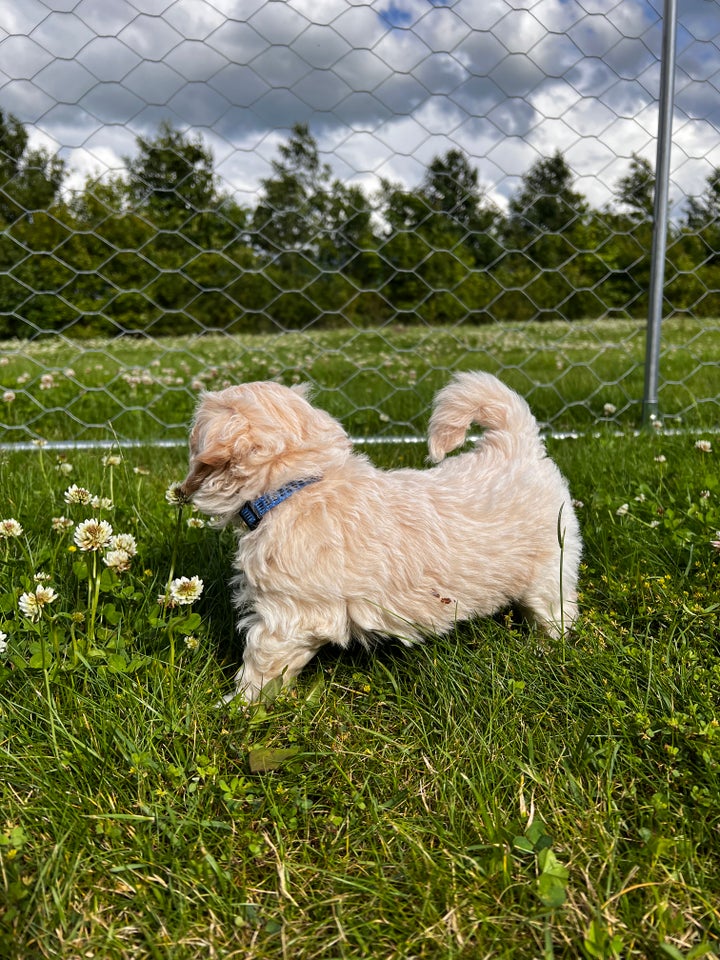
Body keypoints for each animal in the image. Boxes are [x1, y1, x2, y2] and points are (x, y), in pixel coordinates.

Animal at [180, 372, 580, 700]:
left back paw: (547, 648)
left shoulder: (289, 613)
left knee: (556, 610)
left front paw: (239, 708)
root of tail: (516, 446)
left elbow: (262, 662)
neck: (297, 484)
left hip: (551, 564)